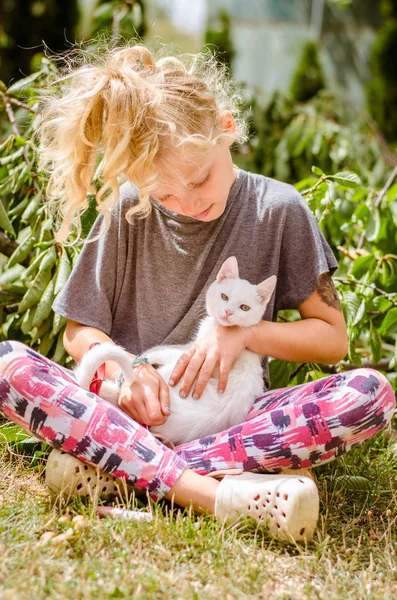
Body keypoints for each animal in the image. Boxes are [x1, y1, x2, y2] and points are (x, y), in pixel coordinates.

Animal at [76, 256, 276, 446]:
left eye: (244, 308)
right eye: (224, 297)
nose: (228, 312)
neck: (222, 329)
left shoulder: (191, 352)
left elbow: (162, 350)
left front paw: (146, 355)